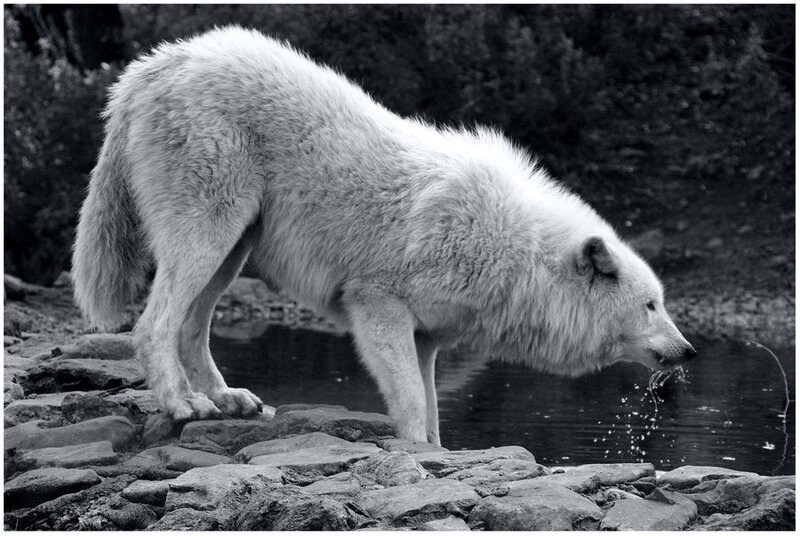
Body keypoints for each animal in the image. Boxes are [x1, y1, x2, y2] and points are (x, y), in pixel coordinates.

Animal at [72, 27, 696, 445]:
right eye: (650, 305)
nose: (690, 350)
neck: (517, 253)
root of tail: (155, 63)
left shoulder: (427, 338)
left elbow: (431, 408)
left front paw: (438, 454)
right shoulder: (378, 306)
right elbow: (414, 404)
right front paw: (418, 453)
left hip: (232, 249)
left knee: (190, 328)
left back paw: (227, 399)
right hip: (209, 235)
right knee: (154, 325)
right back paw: (184, 405)